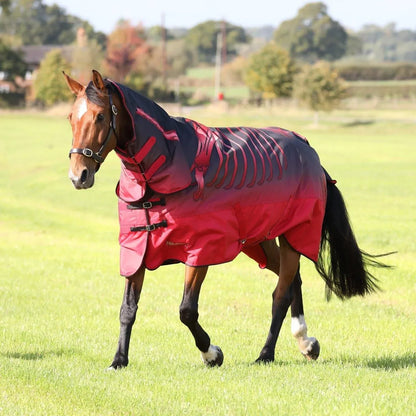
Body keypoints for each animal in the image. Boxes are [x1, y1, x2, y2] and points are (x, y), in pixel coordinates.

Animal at [63, 70, 386, 368]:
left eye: (101, 116)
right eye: (70, 118)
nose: (79, 175)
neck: (168, 168)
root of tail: (309, 151)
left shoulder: (202, 249)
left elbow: (186, 310)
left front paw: (212, 353)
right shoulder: (137, 248)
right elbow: (127, 308)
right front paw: (119, 359)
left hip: (293, 234)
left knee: (281, 294)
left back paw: (266, 354)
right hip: (260, 241)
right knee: (293, 280)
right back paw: (305, 341)